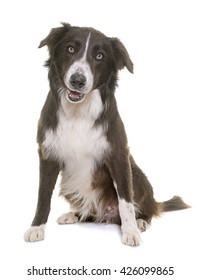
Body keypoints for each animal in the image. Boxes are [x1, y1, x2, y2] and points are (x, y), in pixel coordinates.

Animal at [23, 23, 189, 246]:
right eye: (70, 49)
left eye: (100, 56)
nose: (77, 81)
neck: (78, 113)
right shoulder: (48, 154)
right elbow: (43, 196)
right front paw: (36, 227)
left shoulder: (118, 155)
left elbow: (126, 200)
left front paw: (130, 231)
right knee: (90, 213)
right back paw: (74, 215)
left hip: (136, 174)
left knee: (145, 207)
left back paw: (141, 221)